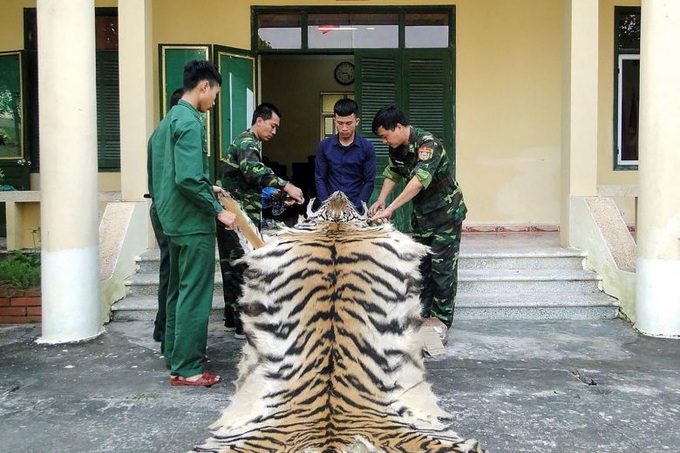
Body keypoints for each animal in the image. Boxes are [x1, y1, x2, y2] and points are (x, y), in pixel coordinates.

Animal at [195, 191, 486, 453]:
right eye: (332, 208)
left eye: (347, 210)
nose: (337, 192)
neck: (335, 227)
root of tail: (332, 440)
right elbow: (247, 226)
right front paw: (223, 198)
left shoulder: (268, 248)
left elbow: (248, 228)